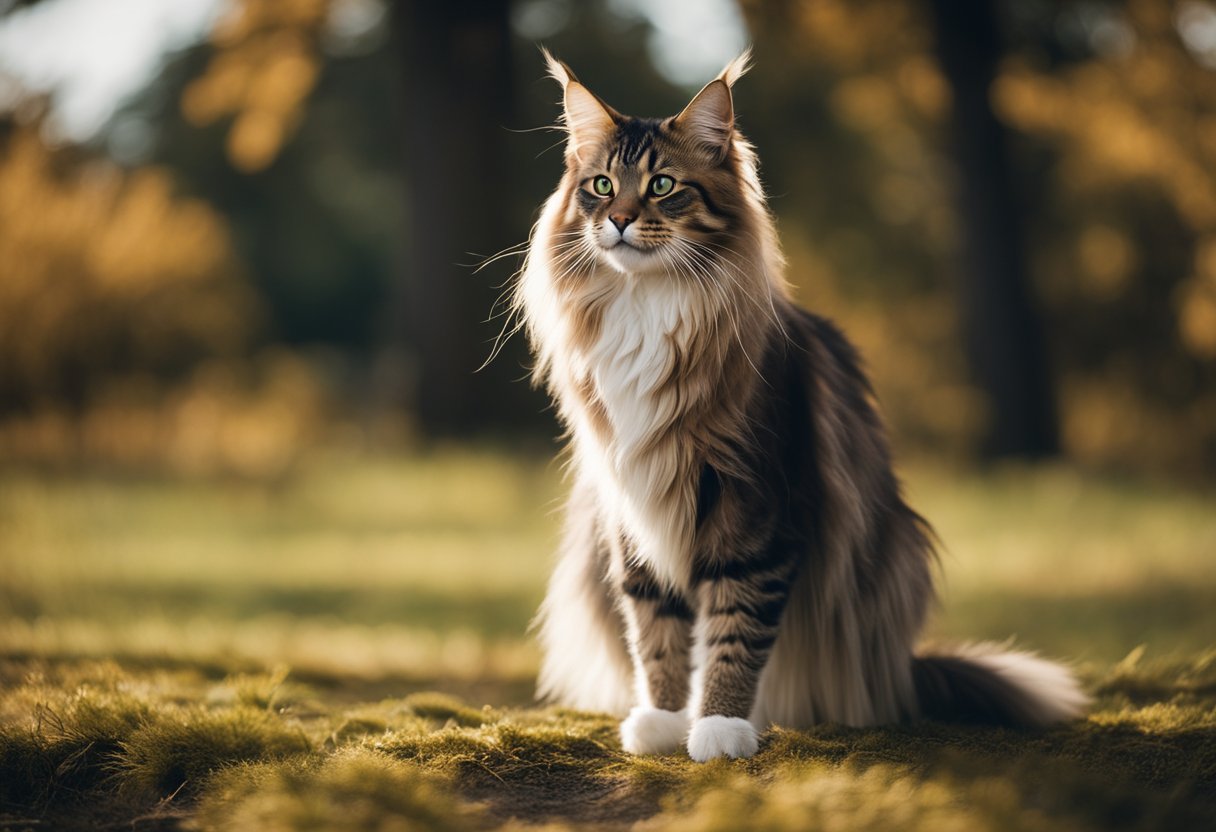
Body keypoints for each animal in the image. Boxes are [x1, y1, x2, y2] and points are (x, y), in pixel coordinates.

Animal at [510, 47, 1084, 759]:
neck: (647, 307)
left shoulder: (758, 506)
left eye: (663, 185)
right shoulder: (633, 508)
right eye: (600, 186)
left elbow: (732, 630)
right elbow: (657, 630)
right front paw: (666, 720)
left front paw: (719, 727)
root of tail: (902, 669)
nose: (616, 220)